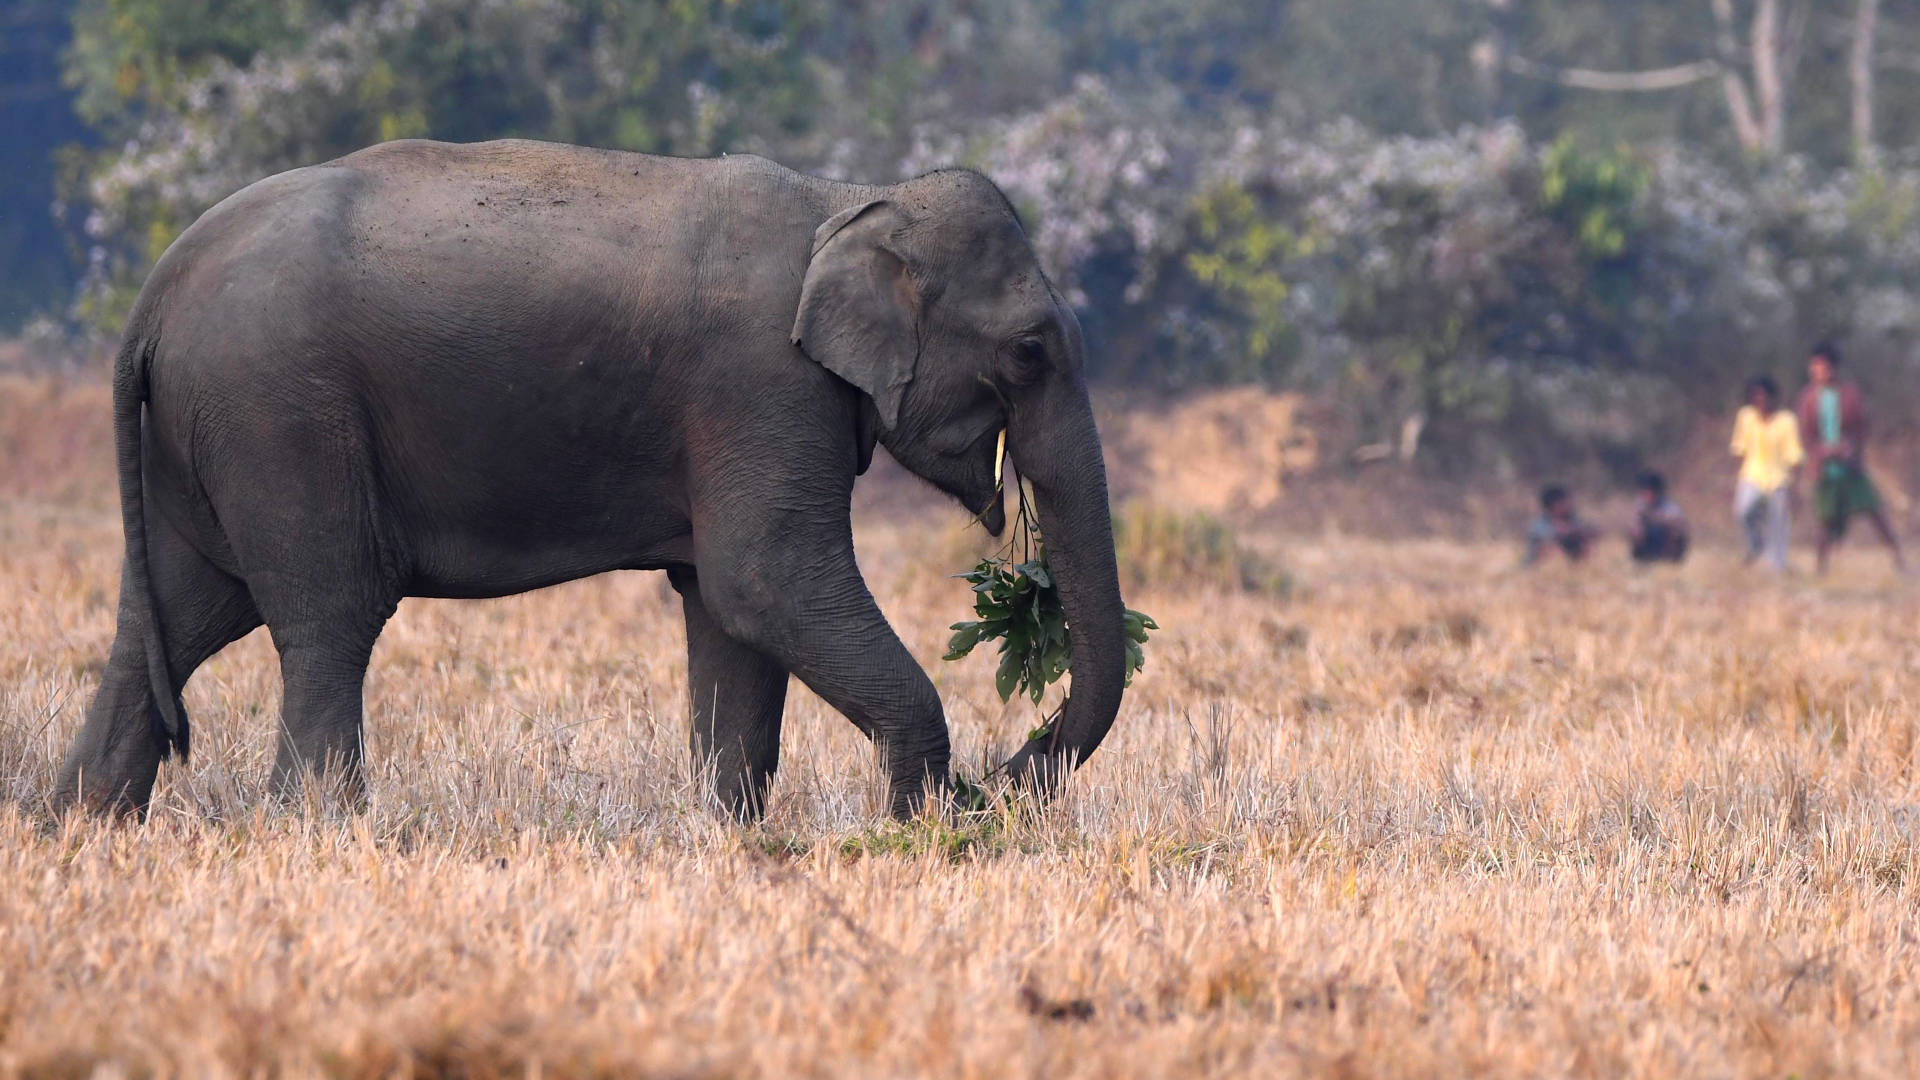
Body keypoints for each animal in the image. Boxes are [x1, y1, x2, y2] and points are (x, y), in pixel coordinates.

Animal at [52, 138, 1128, 818]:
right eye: (1031, 350)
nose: (1008, 773)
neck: (847, 201)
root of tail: (156, 291)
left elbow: (729, 615)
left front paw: (731, 834)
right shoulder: (758, 386)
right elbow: (766, 581)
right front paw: (931, 828)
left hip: (209, 433)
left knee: (173, 619)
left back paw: (82, 827)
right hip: (281, 416)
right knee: (327, 616)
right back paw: (318, 826)